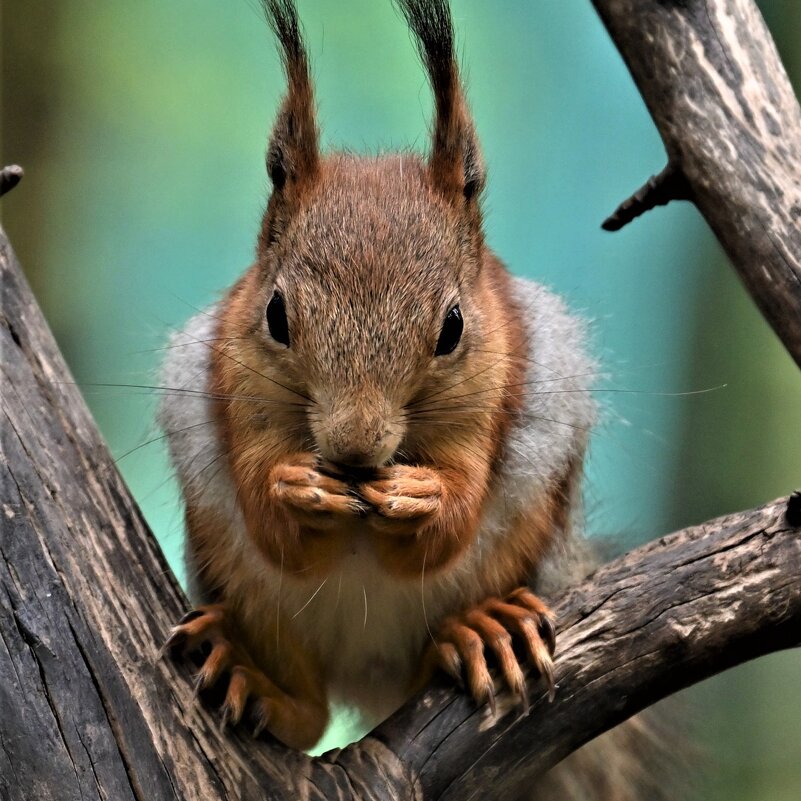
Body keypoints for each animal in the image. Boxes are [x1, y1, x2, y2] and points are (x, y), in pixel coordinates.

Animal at [159, 0, 592, 760]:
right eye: (276, 315)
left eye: (452, 327)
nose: (355, 453)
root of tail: (366, 677)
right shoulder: (236, 387)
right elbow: (272, 526)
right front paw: (294, 486)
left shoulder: (488, 396)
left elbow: (451, 520)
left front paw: (421, 494)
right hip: (241, 582)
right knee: (305, 712)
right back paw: (253, 676)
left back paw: (480, 630)